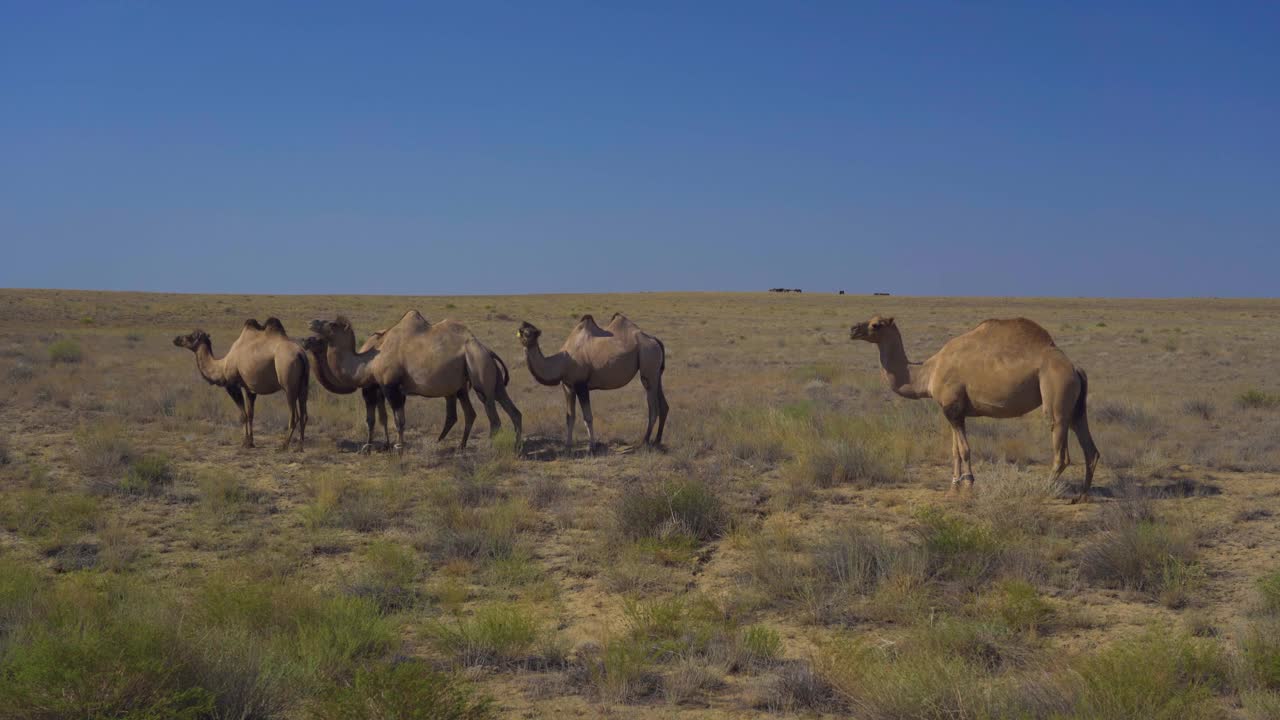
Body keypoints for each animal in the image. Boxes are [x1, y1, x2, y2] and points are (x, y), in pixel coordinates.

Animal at [172, 315, 309, 445]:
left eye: (191, 336)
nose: (176, 339)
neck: (222, 366)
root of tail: (300, 354)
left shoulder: (233, 385)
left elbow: (243, 415)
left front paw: (245, 442)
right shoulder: (250, 388)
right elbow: (250, 414)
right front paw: (250, 442)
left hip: (288, 383)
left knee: (294, 416)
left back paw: (283, 446)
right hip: (303, 384)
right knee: (304, 414)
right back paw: (299, 446)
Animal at [307, 310, 522, 453]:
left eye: (332, 325)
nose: (312, 322)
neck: (371, 361)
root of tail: (487, 350)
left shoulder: (391, 386)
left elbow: (398, 420)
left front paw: (398, 447)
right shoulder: (390, 389)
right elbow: (384, 419)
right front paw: (373, 446)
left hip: (478, 369)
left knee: (493, 417)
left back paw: (490, 448)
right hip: (488, 379)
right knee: (510, 411)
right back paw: (508, 448)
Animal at [514, 312, 670, 448]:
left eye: (530, 333)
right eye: (522, 331)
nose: (524, 339)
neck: (563, 361)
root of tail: (655, 340)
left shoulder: (581, 385)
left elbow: (587, 417)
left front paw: (592, 446)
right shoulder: (568, 386)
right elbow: (570, 417)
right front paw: (568, 445)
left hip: (648, 364)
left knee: (653, 408)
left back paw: (644, 441)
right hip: (657, 372)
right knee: (663, 405)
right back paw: (657, 441)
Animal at [849, 313, 1100, 499]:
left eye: (876, 324)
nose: (853, 329)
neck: (928, 373)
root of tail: (1074, 367)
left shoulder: (952, 407)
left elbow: (965, 450)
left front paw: (969, 485)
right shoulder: (954, 411)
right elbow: (955, 451)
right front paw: (953, 487)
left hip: (1056, 396)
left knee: (1061, 451)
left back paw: (1043, 490)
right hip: (1075, 407)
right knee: (1090, 449)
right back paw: (1082, 496)